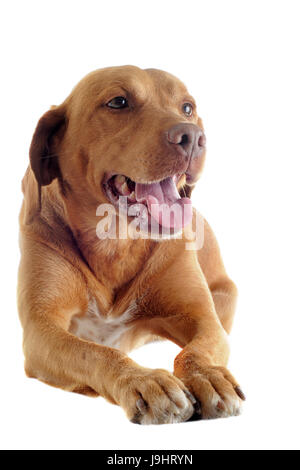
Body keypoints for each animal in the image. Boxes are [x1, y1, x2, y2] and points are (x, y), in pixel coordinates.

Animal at [18, 65, 244, 422]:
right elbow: (94, 353)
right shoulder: (41, 328)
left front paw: (207, 375)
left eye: (187, 108)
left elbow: (197, 351)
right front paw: (144, 380)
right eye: (118, 102)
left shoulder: (204, 319)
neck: (116, 241)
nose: (192, 137)